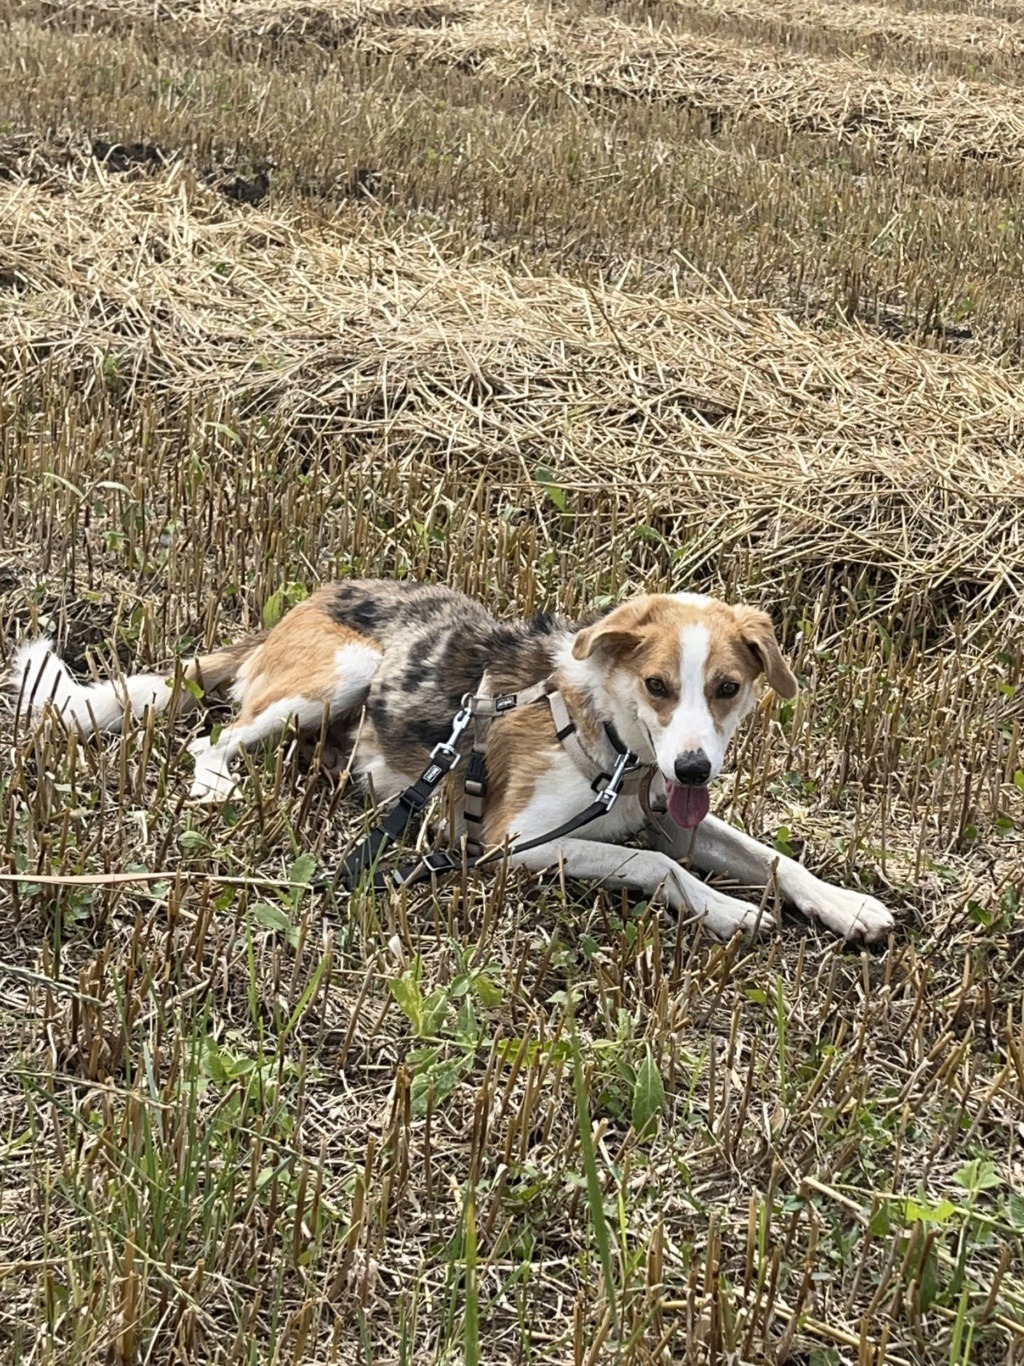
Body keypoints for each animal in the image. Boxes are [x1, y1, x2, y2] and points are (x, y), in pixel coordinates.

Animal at [8, 581, 895, 945]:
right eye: (657, 686)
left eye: (727, 689)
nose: (694, 772)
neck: (615, 740)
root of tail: (298, 608)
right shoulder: (515, 844)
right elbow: (660, 869)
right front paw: (731, 913)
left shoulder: (669, 817)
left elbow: (772, 856)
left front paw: (848, 905)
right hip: (347, 670)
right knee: (210, 740)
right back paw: (223, 782)